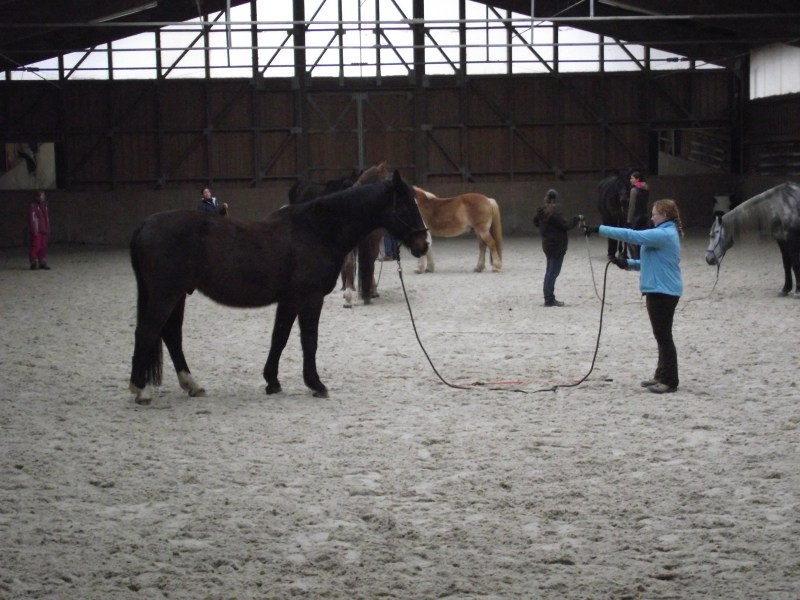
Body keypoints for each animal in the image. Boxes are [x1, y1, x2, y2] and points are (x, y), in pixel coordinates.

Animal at [128, 170, 429, 404]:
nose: (423, 245)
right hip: (165, 295)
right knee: (147, 331)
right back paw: (140, 390)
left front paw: (272, 381)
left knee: (171, 336)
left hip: (177, 295)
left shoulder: (289, 300)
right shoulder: (310, 298)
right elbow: (309, 340)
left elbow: (280, 338)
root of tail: (145, 224)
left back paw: (192, 385)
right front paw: (316, 384)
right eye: (407, 206)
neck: (317, 230)